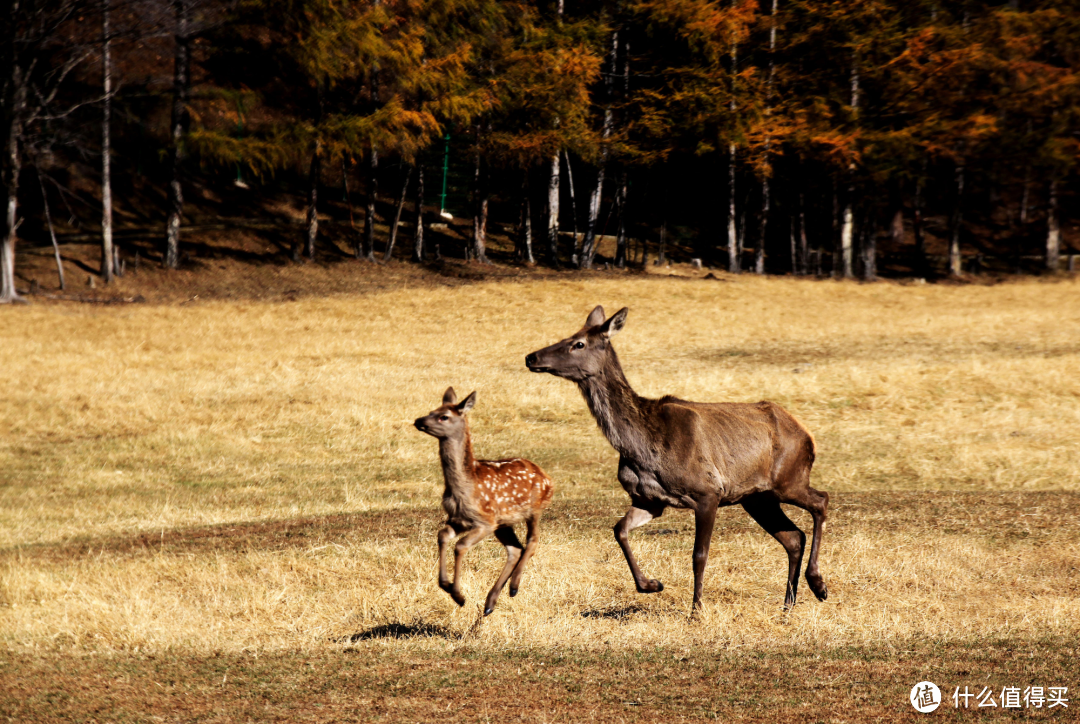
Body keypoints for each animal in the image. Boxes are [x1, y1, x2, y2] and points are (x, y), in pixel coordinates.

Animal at [414, 389, 557, 613]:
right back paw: (490, 602)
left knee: (532, 541)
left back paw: (513, 587)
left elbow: (460, 546)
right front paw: (445, 585)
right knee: (514, 549)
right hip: (504, 523)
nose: (418, 420)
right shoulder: (458, 518)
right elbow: (442, 535)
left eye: (444, 416)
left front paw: (458, 595)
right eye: (431, 411)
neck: (464, 488)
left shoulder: (485, 520)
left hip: (534, 509)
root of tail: (547, 477)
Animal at [522, 306, 825, 613]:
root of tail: (807, 434)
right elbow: (619, 529)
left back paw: (818, 584)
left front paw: (696, 610)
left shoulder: (708, 492)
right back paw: (788, 604)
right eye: (567, 336)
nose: (531, 357)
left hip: (789, 479)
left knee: (820, 501)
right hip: (757, 498)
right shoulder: (649, 499)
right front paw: (651, 584)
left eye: (579, 343)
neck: (643, 450)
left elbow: (699, 554)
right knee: (793, 537)